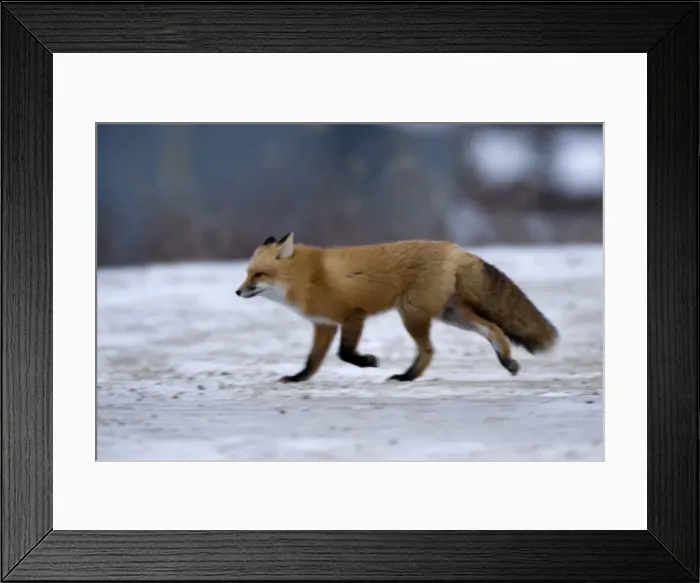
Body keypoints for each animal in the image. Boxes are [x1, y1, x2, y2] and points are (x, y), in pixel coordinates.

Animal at [235, 232, 559, 383]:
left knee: (429, 350)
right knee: (493, 329)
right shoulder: (324, 324)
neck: (307, 277)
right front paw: (298, 378)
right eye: (247, 273)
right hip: (450, 315)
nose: (238, 291)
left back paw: (407, 376)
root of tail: (455, 248)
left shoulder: (353, 315)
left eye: (258, 275)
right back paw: (507, 362)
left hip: (413, 315)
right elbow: (313, 361)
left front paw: (368, 362)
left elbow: (345, 353)